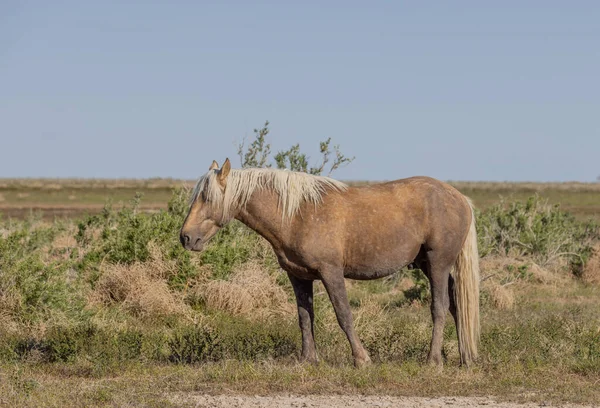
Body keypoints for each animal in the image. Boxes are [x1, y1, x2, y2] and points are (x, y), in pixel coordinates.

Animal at [180, 158, 480, 368]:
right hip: (433, 268)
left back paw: (433, 360)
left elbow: (343, 315)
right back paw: (466, 358)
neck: (297, 214)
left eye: (207, 197)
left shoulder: (331, 273)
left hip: (438, 265)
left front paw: (362, 359)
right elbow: (304, 317)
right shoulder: (299, 277)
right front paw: (308, 359)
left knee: (439, 308)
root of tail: (460, 198)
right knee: (457, 307)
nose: (186, 237)